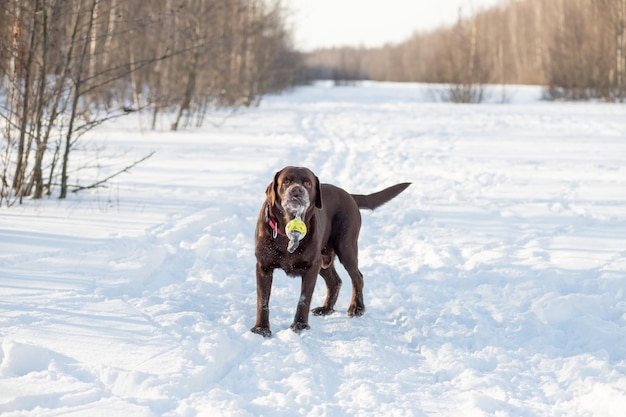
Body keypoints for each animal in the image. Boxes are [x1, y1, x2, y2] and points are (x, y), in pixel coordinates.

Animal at [251, 164, 408, 336]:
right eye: (286, 181)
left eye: (307, 183)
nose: (297, 190)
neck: (288, 232)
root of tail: (349, 195)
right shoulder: (264, 267)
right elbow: (263, 301)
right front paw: (261, 328)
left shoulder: (311, 267)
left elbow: (304, 299)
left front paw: (300, 325)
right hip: (324, 260)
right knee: (335, 281)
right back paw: (326, 309)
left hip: (346, 248)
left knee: (357, 277)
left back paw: (357, 308)